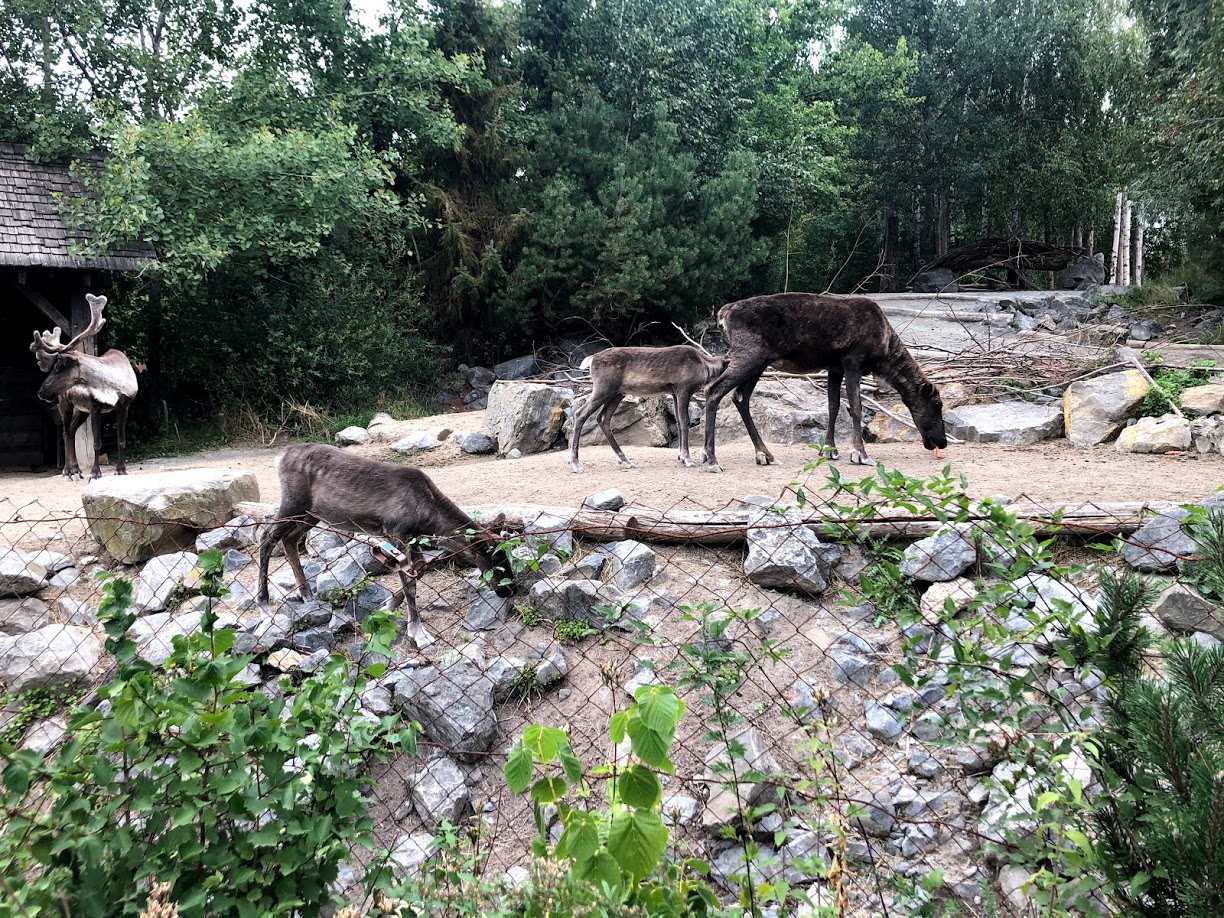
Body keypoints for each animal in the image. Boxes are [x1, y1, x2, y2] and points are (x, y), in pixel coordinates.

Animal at [30, 293, 139, 481]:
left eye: (59, 366)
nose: (41, 392)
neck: (113, 385)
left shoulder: (124, 406)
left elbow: (121, 439)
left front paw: (121, 470)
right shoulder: (95, 407)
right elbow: (97, 443)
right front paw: (95, 473)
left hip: (82, 410)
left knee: (72, 430)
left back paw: (77, 469)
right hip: (66, 403)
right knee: (66, 432)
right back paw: (68, 471)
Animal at [257, 444, 516, 649]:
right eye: (496, 561)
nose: (509, 591)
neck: (428, 513)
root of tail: (281, 455)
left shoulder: (412, 539)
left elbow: (420, 569)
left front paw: (388, 604)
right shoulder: (396, 532)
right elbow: (410, 581)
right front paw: (418, 634)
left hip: (311, 513)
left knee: (289, 540)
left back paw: (306, 594)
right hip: (294, 503)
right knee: (266, 537)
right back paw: (264, 603)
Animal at [569, 345, 729, 474]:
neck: (705, 366)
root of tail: (592, 359)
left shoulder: (674, 393)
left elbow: (677, 421)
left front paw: (681, 457)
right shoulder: (683, 389)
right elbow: (685, 421)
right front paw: (688, 459)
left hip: (617, 393)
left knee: (603, 418)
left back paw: (626, 461)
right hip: (603, 389)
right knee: (580, 413)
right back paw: (576, 464)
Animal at [700, 292, 948, 472]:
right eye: (937, 405)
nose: (942, 442)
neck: (884, 351)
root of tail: (724, 313)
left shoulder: (834, 367)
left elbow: (833, 406)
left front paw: (830, 449)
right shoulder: (852, 361)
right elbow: (855, 406)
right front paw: (860, 454)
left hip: (759, 362)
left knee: (740, 397)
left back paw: (764, 454)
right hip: (749, 354)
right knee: (714, 390)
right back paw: (711, 458)